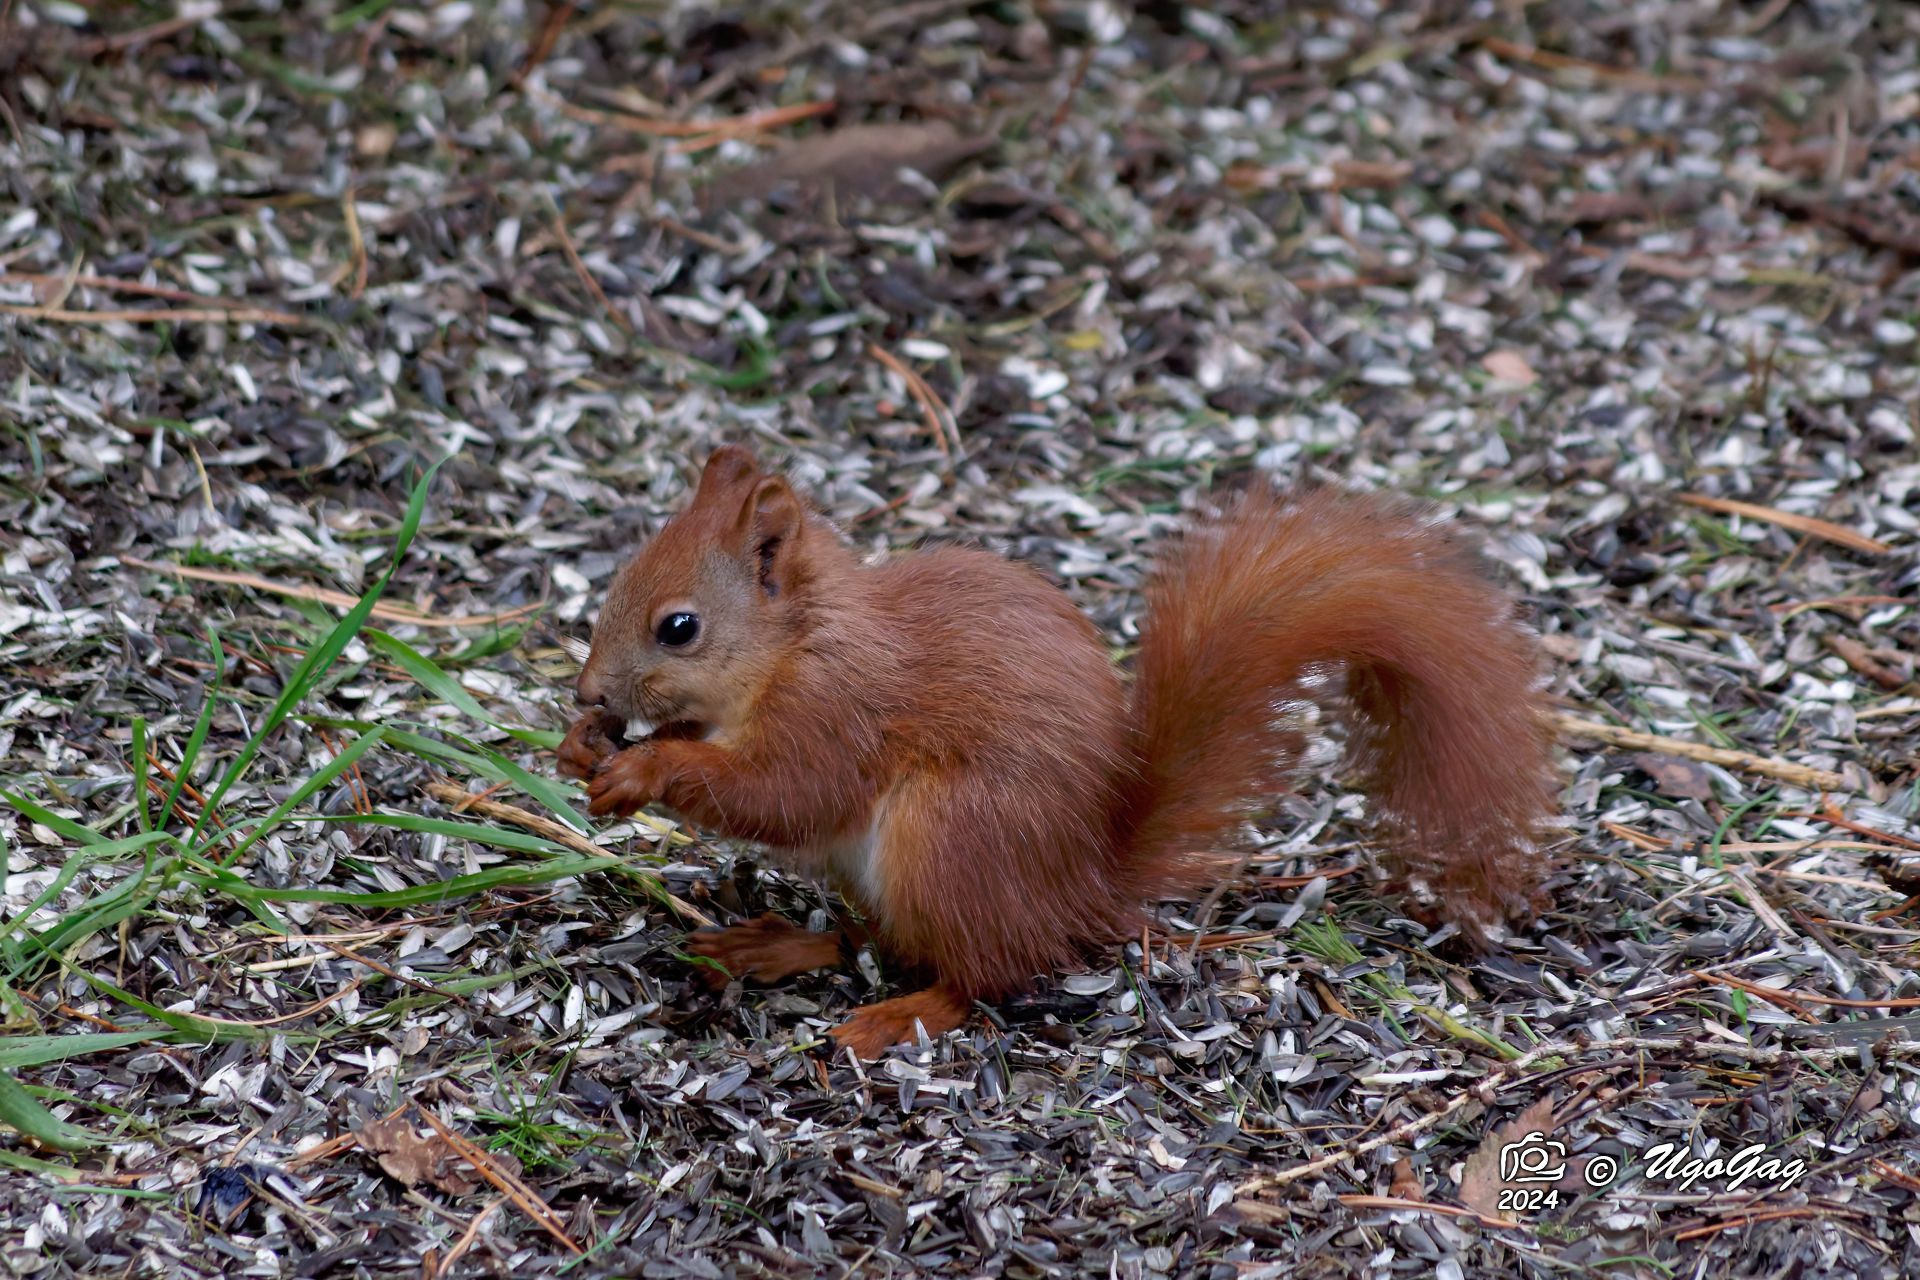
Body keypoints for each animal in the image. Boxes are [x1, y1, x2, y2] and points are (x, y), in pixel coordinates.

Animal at [557, 446, 1556, 1058]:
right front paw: (579, 751)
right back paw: (773, 947)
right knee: (878, 939)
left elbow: (783, 794)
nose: (589, 694)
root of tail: (1084, 884)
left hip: (949, 838)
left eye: (679, 627)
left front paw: (643, 768)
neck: (797, 642)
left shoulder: (834, 713)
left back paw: (895, 1018)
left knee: (980, 976)